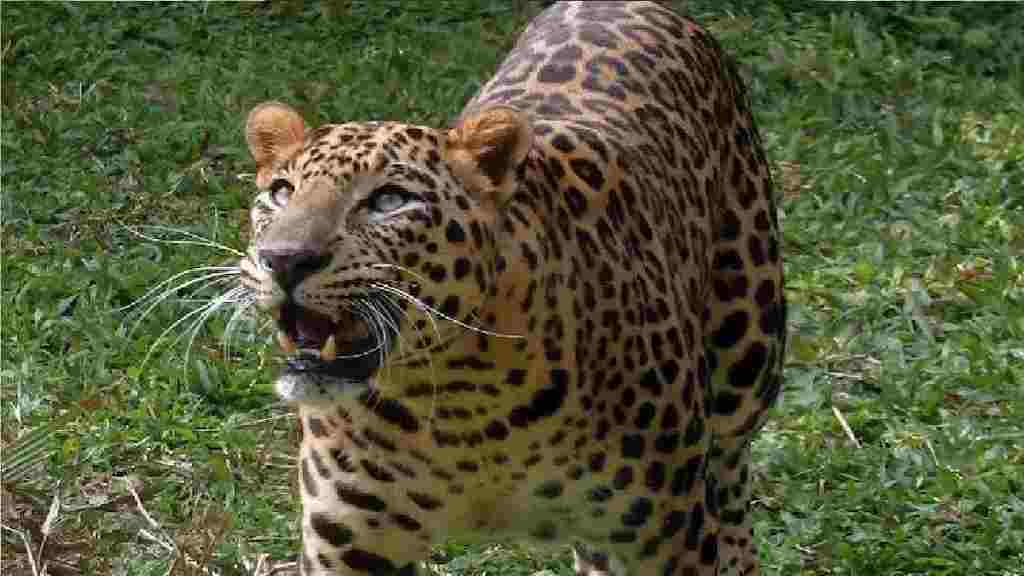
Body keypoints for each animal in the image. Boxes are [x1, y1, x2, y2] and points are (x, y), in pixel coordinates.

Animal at [238, 2, 784, 575]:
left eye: (389, 200)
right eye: (281, 192)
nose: (284, 260)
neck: (464, 406)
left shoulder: (665, 538)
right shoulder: (349, 546)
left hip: (747, 360)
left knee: (732, 482)